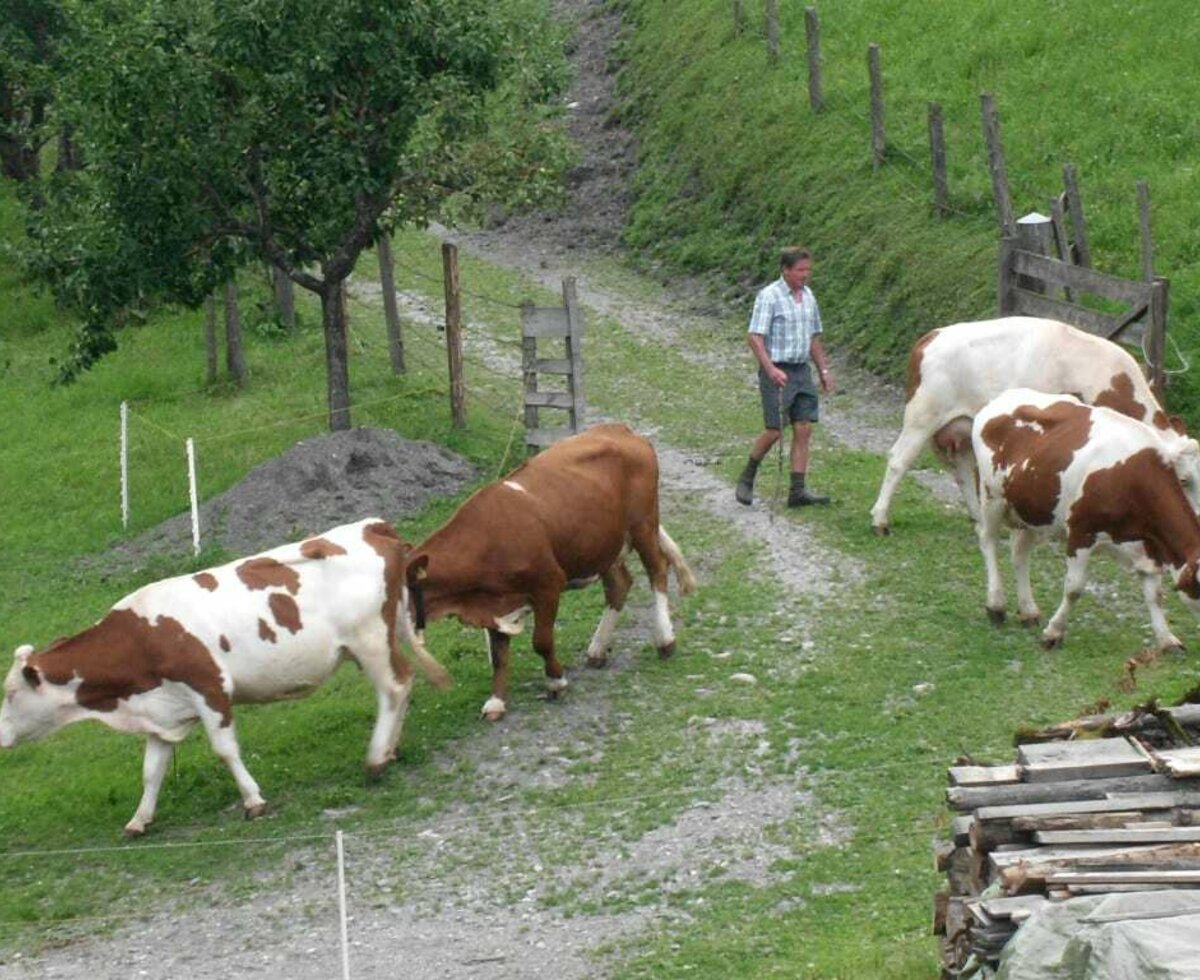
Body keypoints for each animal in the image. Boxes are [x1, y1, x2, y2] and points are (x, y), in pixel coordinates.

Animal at [0, 520, 451, 834]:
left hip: (369, 639)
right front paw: (139, 820)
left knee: (394, 686)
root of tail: (372, 527)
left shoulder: (210, 689)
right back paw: (391, 749)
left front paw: (253, 801)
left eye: (10, 693)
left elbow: (224, 750)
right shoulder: (163, 711)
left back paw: (376, 759)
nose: (0, 736)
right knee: (400, 689)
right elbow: (151, 769)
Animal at [400, 419, 696, 719]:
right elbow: (498, 654)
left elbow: (541, 641)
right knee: (619, 585)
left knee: (658, 570)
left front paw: (556, 681)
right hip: (604, 544)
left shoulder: (549, 584)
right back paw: (597, 649)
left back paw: (664, 640)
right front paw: (496, 701)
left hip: (643, 524)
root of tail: (617, 428)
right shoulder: (494, 603)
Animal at [873, 314, 1200, 534]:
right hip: (922, 418)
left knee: (963, 472)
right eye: (1182, 480)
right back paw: (880, 520)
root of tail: (931, 336)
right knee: (899, 460)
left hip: (960, 428)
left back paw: (980, 519)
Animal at [969, 388, 1200, 647]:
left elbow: (1155, 593)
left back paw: (1028, 611)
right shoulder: (1081, 532)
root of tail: (1003, 397)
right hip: (991, 496)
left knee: (1019, 552)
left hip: (1031, 508)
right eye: (1184, 479)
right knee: (988, 540)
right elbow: (1074, 588)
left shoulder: (1146, 545)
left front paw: (1167, 639)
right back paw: (996, 605)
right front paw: (1053, 633)